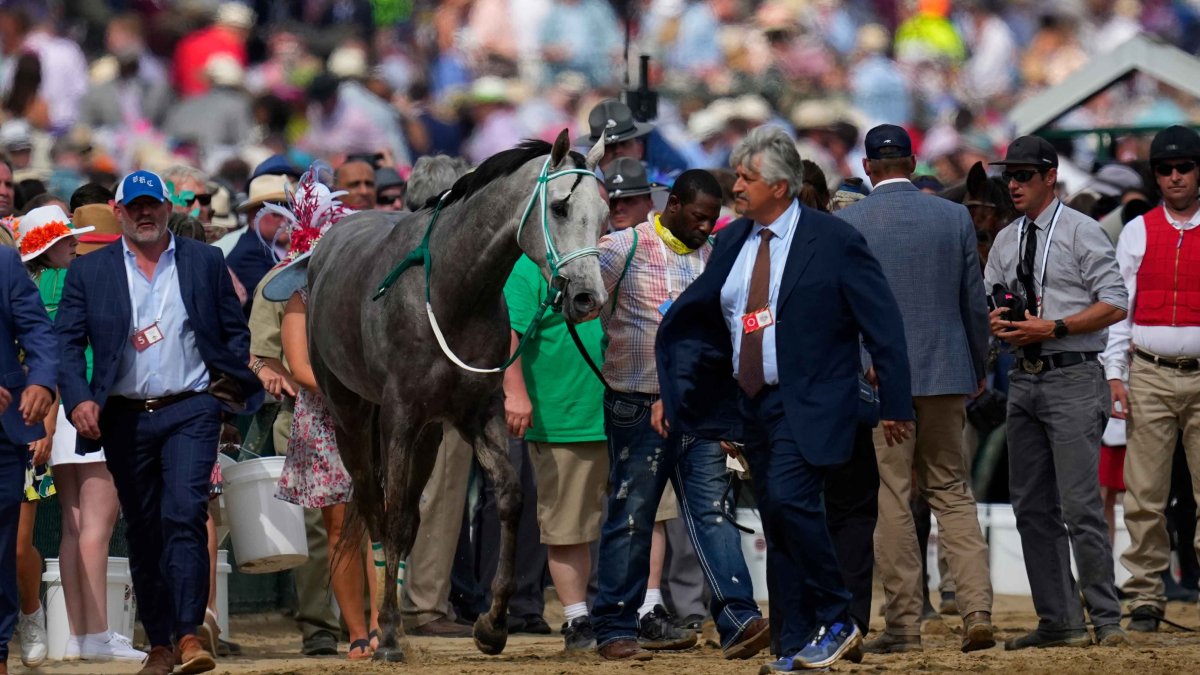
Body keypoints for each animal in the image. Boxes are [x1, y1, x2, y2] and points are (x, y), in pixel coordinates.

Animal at [304, 130, 609, 658]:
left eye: (604, 213)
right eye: (561, 208)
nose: (588, 298)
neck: (452, 292)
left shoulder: (476, 411)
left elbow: (509, 496)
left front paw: (493, 624)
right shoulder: (400, 417)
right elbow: (394, 520)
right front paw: (389, 634)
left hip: (429, 435)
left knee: (407, 513)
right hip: (350, 415)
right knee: (376, 509)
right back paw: (376, 630)